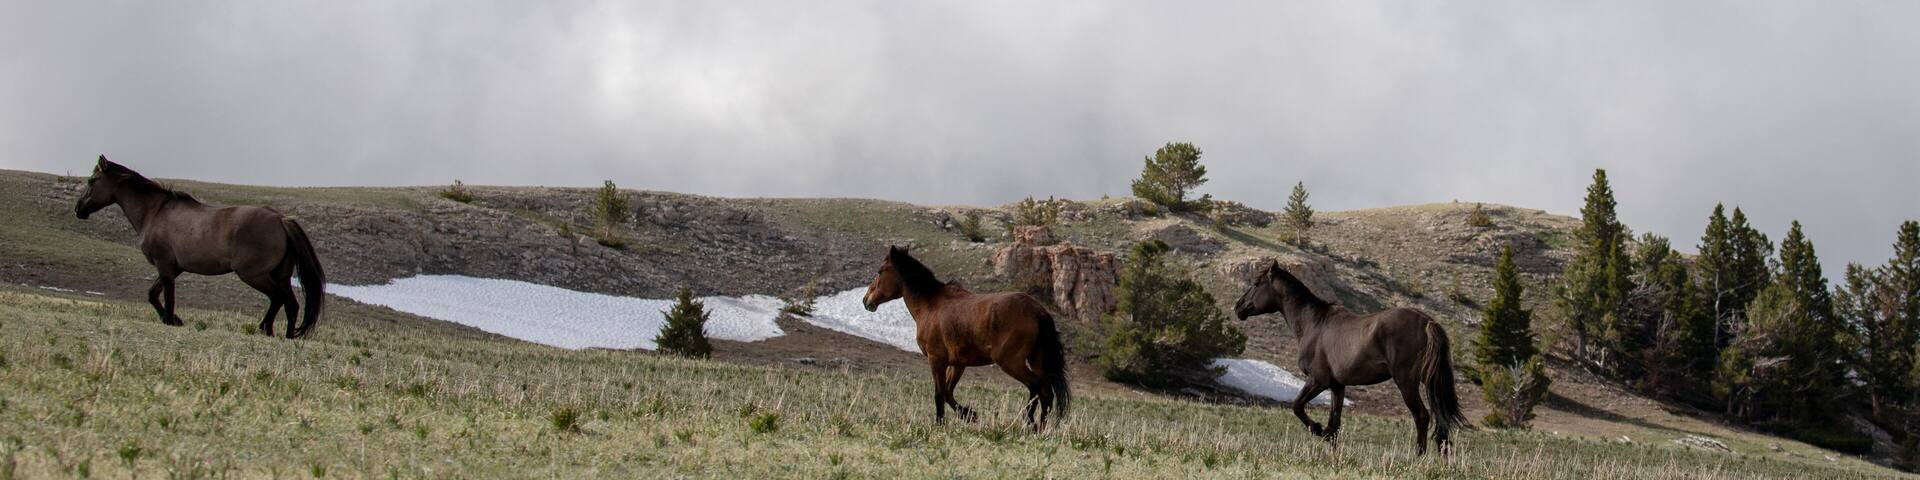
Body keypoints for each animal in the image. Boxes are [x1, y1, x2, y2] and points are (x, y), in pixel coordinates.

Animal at [74, 156, 327, 338]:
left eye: (91, 181)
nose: (78, 209)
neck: (154, 212)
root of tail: (281, 220)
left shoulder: (165, 265)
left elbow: (168, 297)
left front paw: (170, 320)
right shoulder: (173, 268)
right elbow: (152, 294)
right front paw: (174, 320)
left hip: (254, 275)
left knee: (279, 299)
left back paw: (270, 330)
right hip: (279, 275)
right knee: (290, 303)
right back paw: (283, 334)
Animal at [863, 246, 1071, 429]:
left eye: (880, 271)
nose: (866, 301)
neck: (930, 305)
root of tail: (1039, 312)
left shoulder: (936, 360)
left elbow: (939, 394)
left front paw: (941, 423)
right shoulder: (957, 364)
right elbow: (948, 393)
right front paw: (969, 415)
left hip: (1010, 362)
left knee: (1035, 386)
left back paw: (1029, 421)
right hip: (1036, 360)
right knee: (1046, 393)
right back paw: (1041, 429)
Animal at [1232, 260, 1469, 455]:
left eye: (1256, 283)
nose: (1238, 307)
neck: (1314, 324)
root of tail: (1427, 322)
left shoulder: (1317, 381)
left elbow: (1297, 406)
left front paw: (1318, 429)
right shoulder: (1338, 386)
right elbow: (1335, 423)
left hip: (1406, 382)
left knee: (1421, 416)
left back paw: (1418, 457)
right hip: (1429, 382)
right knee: (1441, 418)